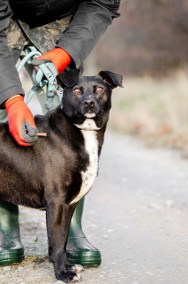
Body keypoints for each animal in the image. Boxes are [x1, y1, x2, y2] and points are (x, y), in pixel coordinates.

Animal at [0, 69, 122, 282]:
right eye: (76, 90)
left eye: (99, 89)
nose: (89, 103)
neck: (82, 132)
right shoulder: (56, 202)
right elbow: (57, 244)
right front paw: (63, 274)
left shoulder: (69, 204)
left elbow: (64, 241)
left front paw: (67, 267)